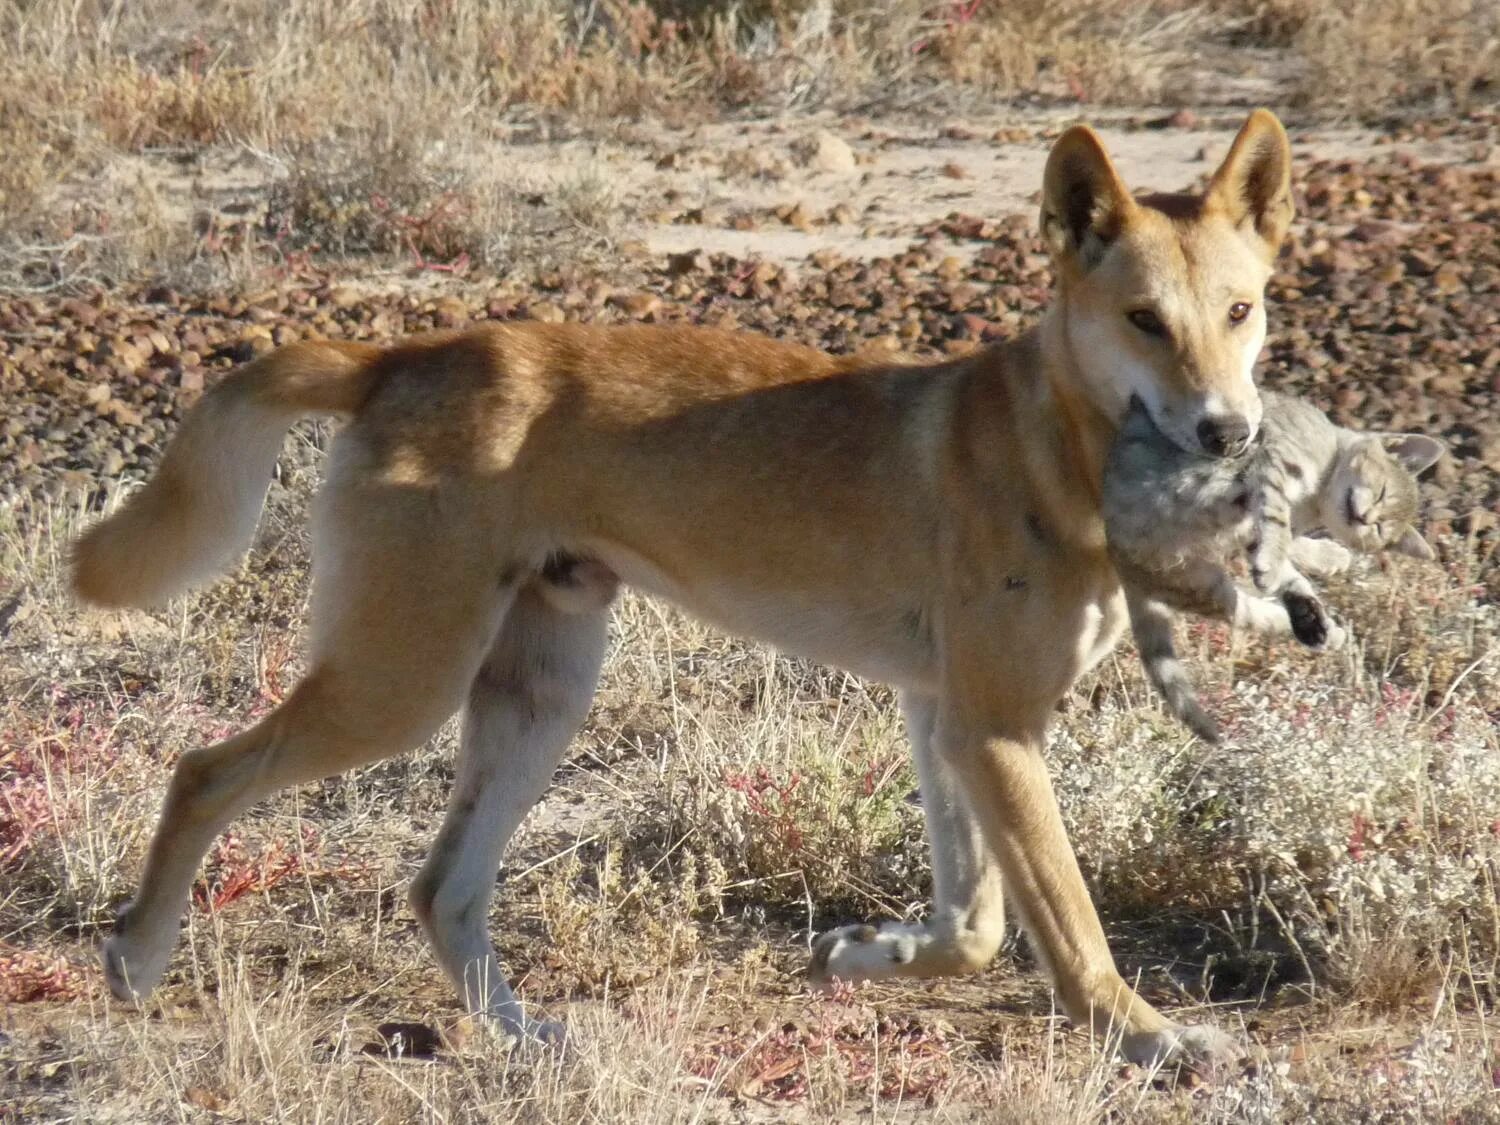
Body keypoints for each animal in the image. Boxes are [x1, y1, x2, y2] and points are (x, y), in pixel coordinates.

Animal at [1110, 393, 1446, 744]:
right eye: (1382, 493)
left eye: (1381, 529)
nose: (1365, 518)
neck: (1316, 497)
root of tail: (1124, 563)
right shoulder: (1274, 460)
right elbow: (1277, 521)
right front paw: (1313, 558)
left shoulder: (1253, 526)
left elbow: (1281, 543)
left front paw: (1323, 559)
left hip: (1200, 584)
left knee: (1255, 613)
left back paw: (1321, 627)